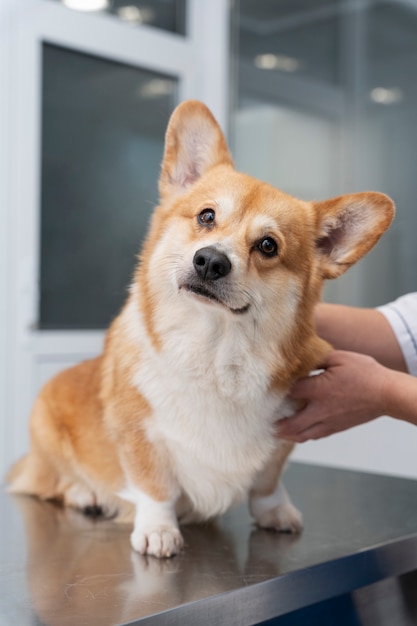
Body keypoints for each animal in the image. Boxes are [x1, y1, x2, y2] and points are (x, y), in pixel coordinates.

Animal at [6, 101, 394, 556]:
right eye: (207, 216)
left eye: (268, 246)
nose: (210, 261)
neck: (215, 348)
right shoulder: (140, 435)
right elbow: (155, 487)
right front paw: (158, 531)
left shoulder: (284, 435)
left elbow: (267, 482)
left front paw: (276, 513)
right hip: (44, 431)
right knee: (49, 481)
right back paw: (85, 494)